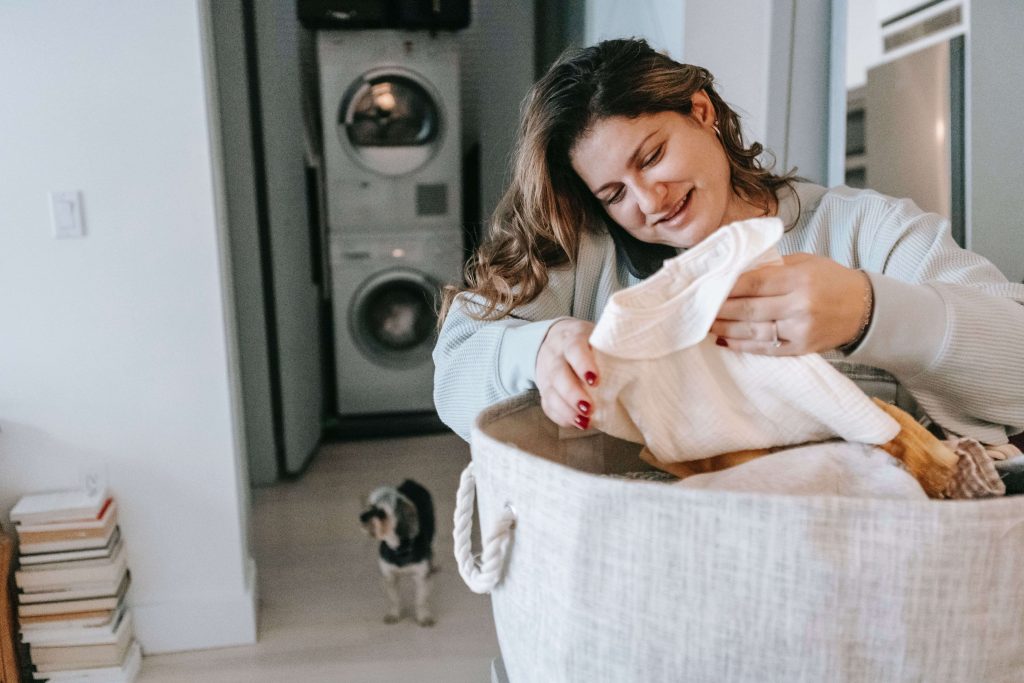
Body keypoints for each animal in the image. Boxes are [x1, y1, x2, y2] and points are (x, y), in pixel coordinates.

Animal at [360, 479, 436, 626]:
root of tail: (410, 481)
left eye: (381, 513)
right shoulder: (390, 576)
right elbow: (394, 599)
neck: (398, 548)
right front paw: (394, 614)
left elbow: (421, 600)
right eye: (370, 506)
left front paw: (423, 616)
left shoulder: (420, 576)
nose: (361, 517)